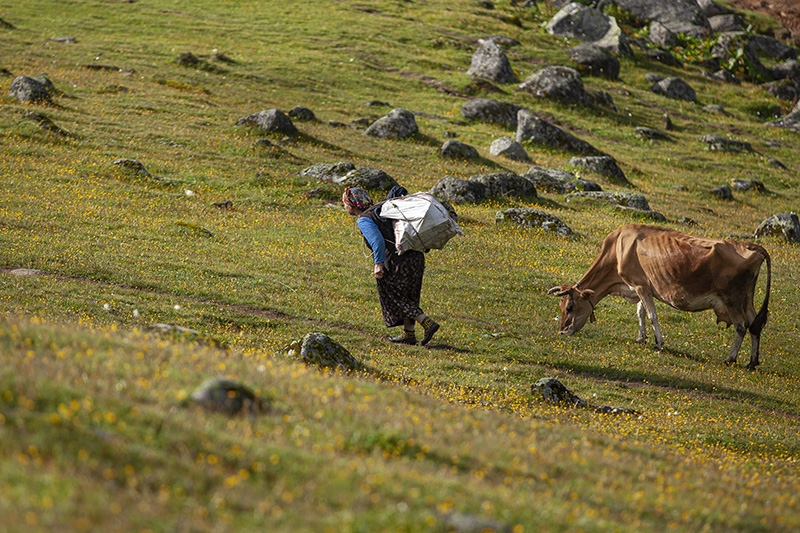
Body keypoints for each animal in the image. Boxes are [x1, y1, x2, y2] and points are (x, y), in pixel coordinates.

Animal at [552, 222, 768, 368]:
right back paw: (752, 362)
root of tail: (752, 246)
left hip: (733, 298)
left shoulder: (640, 285)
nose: (562, 331)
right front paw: (641, 338)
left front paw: (658, 343)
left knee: (741, 326)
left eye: (569, 307)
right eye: (561, 307)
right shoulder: (640, 287)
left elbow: (651, 315)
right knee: (754, 324)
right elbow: (640, 313)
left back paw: (730, 358)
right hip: (746, 299)